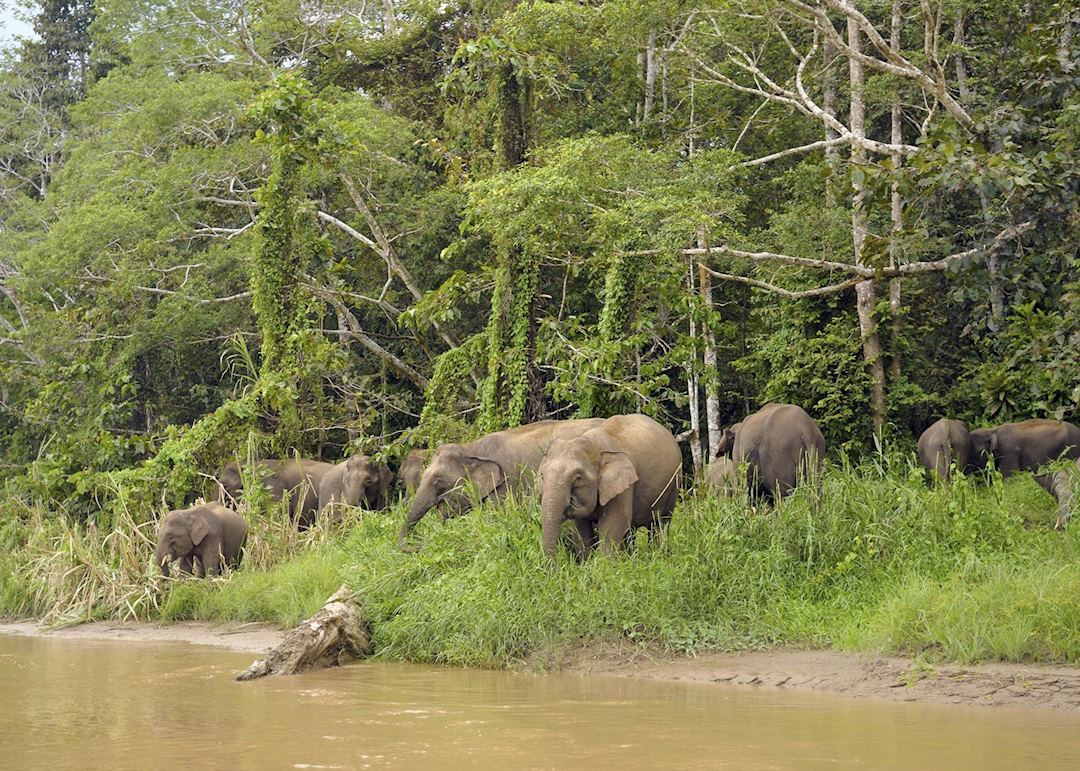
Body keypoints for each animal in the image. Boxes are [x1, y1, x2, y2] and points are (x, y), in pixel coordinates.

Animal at [540, 414, 682, 557]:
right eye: (542, 476)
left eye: (578, 478)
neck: (594, 446)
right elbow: (580, 530)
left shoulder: (623, 487)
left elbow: (613, 524)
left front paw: (604, 562)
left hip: (673, 487)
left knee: (660, 524)